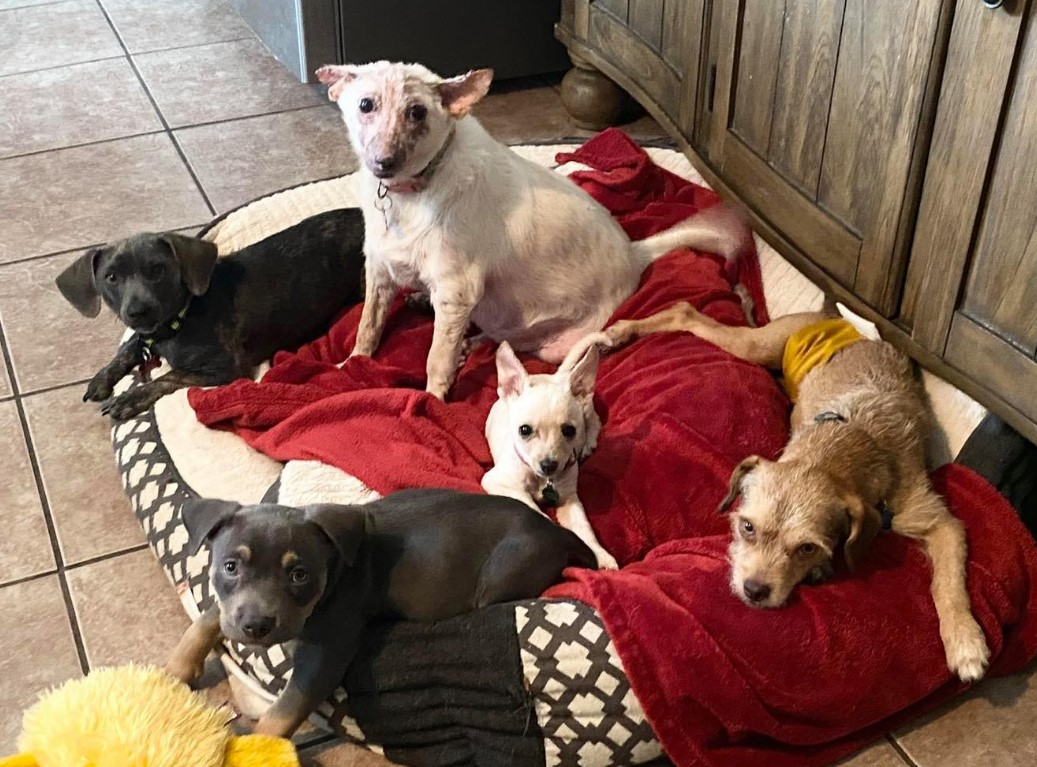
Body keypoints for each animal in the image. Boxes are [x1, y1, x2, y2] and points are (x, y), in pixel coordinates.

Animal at [164, 491, 597, 737]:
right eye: (230, 567)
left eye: (300, 574)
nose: (256, 626)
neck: (336, 569)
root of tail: (559, 534)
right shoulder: (230, 610)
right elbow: (209, 616)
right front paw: (177, 669)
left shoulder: (326, 651)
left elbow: (282, 712)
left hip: (505, 572)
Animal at [315, 58, 746, 402]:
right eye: (366, 105)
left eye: (418, 112)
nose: (383, 163)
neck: (409, 194)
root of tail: (635, 252)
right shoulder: (379, 271)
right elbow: (367, 327)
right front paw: (352, 365)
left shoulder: (458, 291)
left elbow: (436, 358)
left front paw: (432, 400)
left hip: (554, 343)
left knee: (501, 339)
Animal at [483, 331, 618, 567]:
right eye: (524, 430)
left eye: (569, 431)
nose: (549, 465)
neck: (542, 479)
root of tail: (557, 376)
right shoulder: (499, 483)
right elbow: (533, 508)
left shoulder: (570, 500)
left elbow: (585, 530)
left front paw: (601, 556)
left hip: (586, 408)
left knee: (595, 419)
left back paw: (588, 443)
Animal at [605, 302, 991, 679]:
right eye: (747, 527)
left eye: (807, 547)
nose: (754, 591)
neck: (855, 441)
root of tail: (833, 317)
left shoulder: (940, 523)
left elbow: (948, 584)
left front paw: (965, 641)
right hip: (757, 346)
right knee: (685, 312)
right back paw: (620, 331)